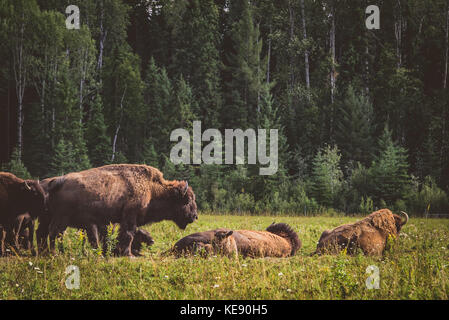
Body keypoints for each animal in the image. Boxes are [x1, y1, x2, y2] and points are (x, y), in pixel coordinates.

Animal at [44, 164, 197, 256]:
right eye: (187, 200)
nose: (195, 216)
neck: (151, 189)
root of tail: (59, 180)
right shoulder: (130, 217)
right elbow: (128, 235)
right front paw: (128, 254)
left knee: (57, 234)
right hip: (62, 218)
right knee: (53, 233)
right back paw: (54, 253)